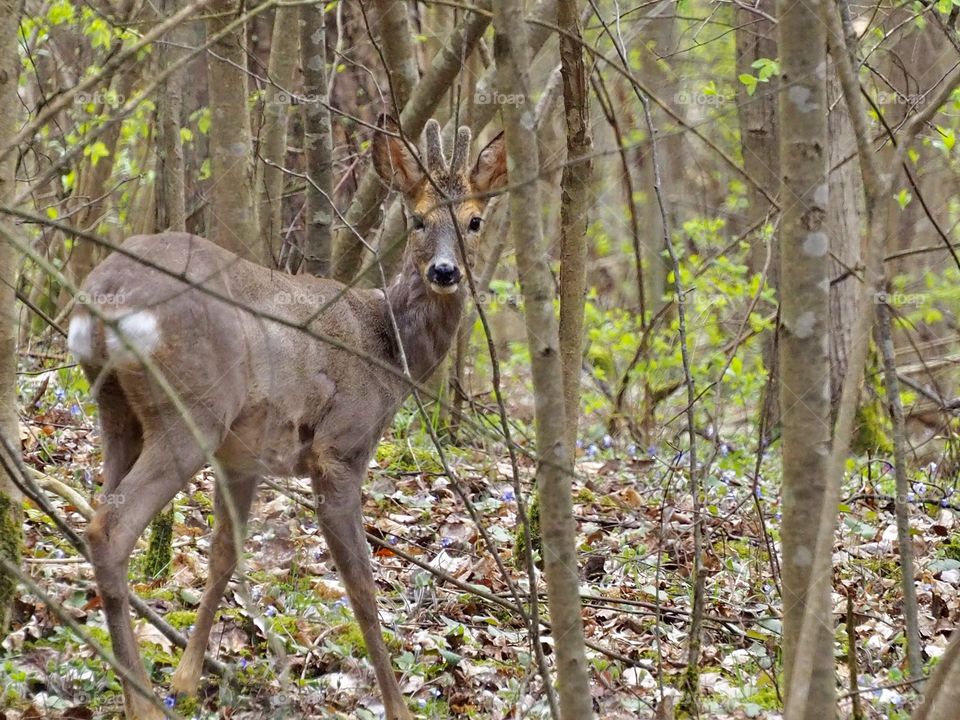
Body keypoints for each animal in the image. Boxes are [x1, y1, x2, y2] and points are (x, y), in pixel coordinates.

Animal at [66, 116, 507, 720]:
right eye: (417, 219)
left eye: (474, 220)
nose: (445, 271)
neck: (388, 349)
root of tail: (102, 295)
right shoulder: (340, 447)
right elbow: (362, 586)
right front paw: (397, 705)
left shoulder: (243, 457)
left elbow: (225, 554)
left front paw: (187, 679)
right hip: (193, 409)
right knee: (109, 529)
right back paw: (142, 704)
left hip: (116, 410)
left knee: (102, 511)